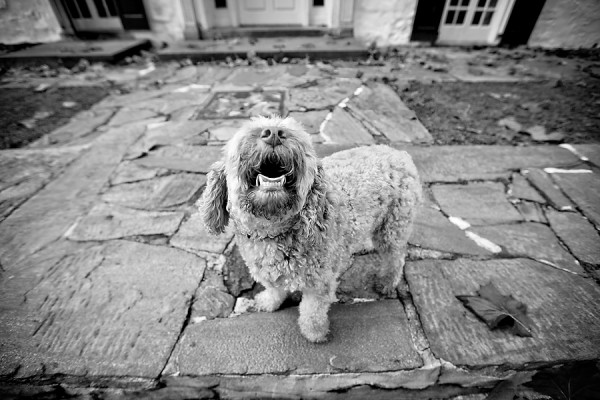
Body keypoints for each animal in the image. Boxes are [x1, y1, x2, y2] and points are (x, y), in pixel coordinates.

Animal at [200, 115, 421, 342]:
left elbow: (312, 311)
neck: (274, 231)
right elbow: (274, 289)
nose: (274, 133)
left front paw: (314, 333)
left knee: (395, 258)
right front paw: (269, 302)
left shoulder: (320, 283)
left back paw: (386, 283)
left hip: (393, 227)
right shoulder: (267, 271)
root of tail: (398, 153)